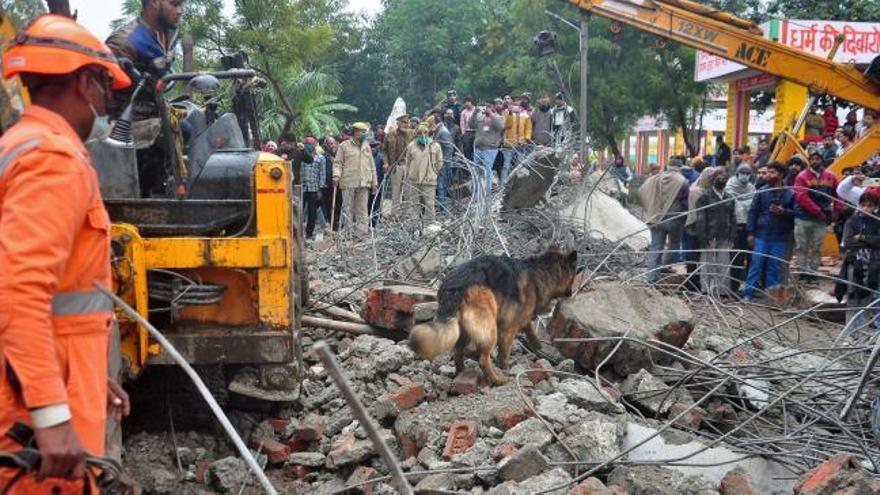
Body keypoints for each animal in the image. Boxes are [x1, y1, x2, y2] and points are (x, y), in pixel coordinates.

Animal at [410, 248, 576, 388]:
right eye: (573, 276)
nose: (571, 293)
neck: (538, 271)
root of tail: (455, 286)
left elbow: (528, 325)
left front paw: (536, 342)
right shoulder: (509, 328)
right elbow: (505, 352)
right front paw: (505, 366)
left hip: (464, 329)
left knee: (458, 352)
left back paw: (461, 372)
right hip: (489, 328)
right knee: (483, 359)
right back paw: (496, 379)